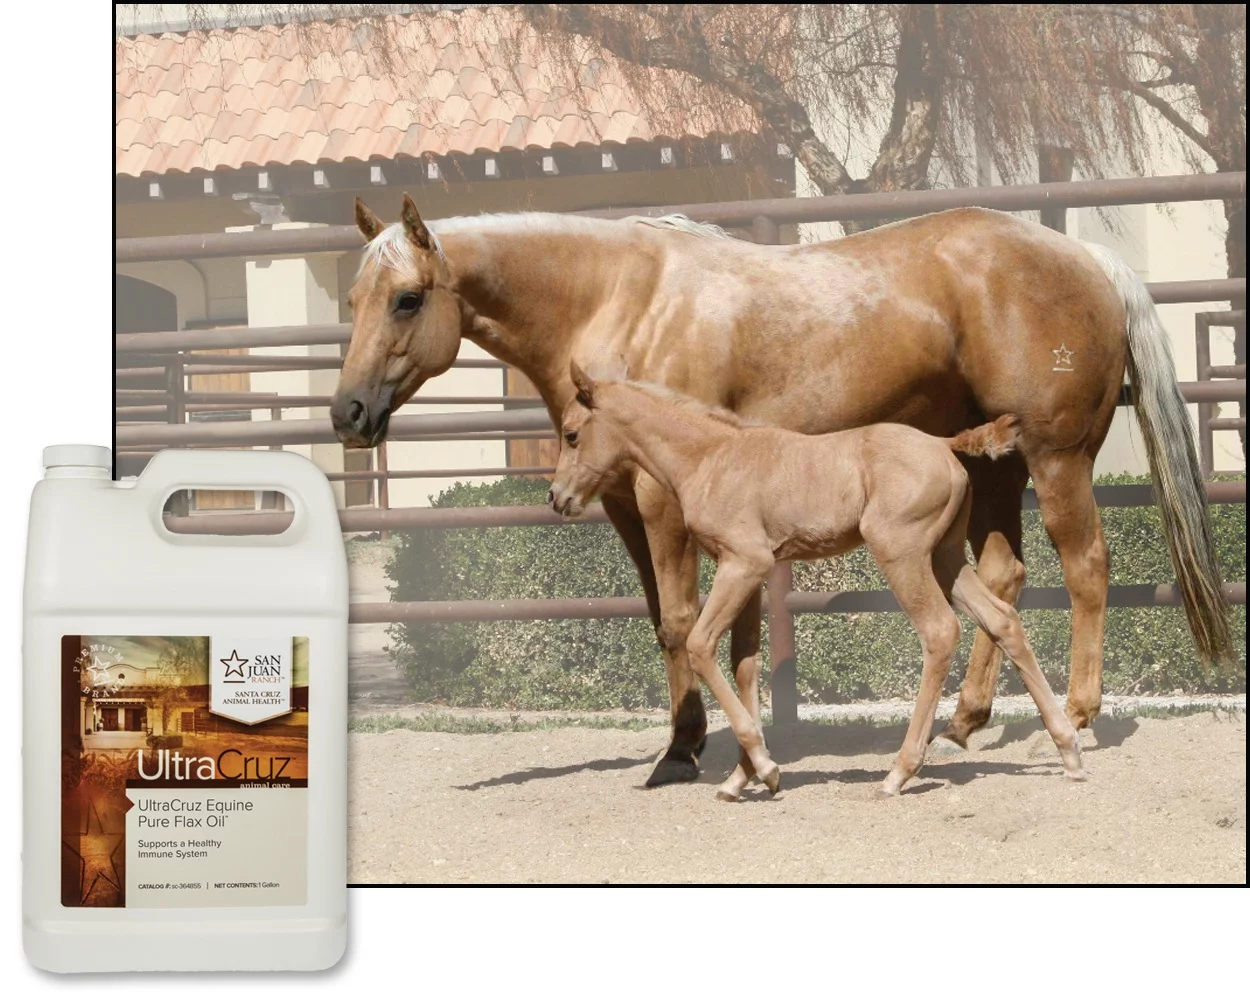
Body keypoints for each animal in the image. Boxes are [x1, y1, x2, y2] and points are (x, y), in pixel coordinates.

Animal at [548, 363, 1086, 799]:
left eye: (571, 434)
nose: (557, 497)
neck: (710, 457)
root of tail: (942, 443)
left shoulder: (743, 563)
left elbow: (701, 645)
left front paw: (765, 769)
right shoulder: (747, 570)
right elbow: (745, 664)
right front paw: (742, 777)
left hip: (903, 554)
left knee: (939, 631)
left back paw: (900, 771)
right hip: (945, 557)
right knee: (1003, 619)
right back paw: (1068, 751)